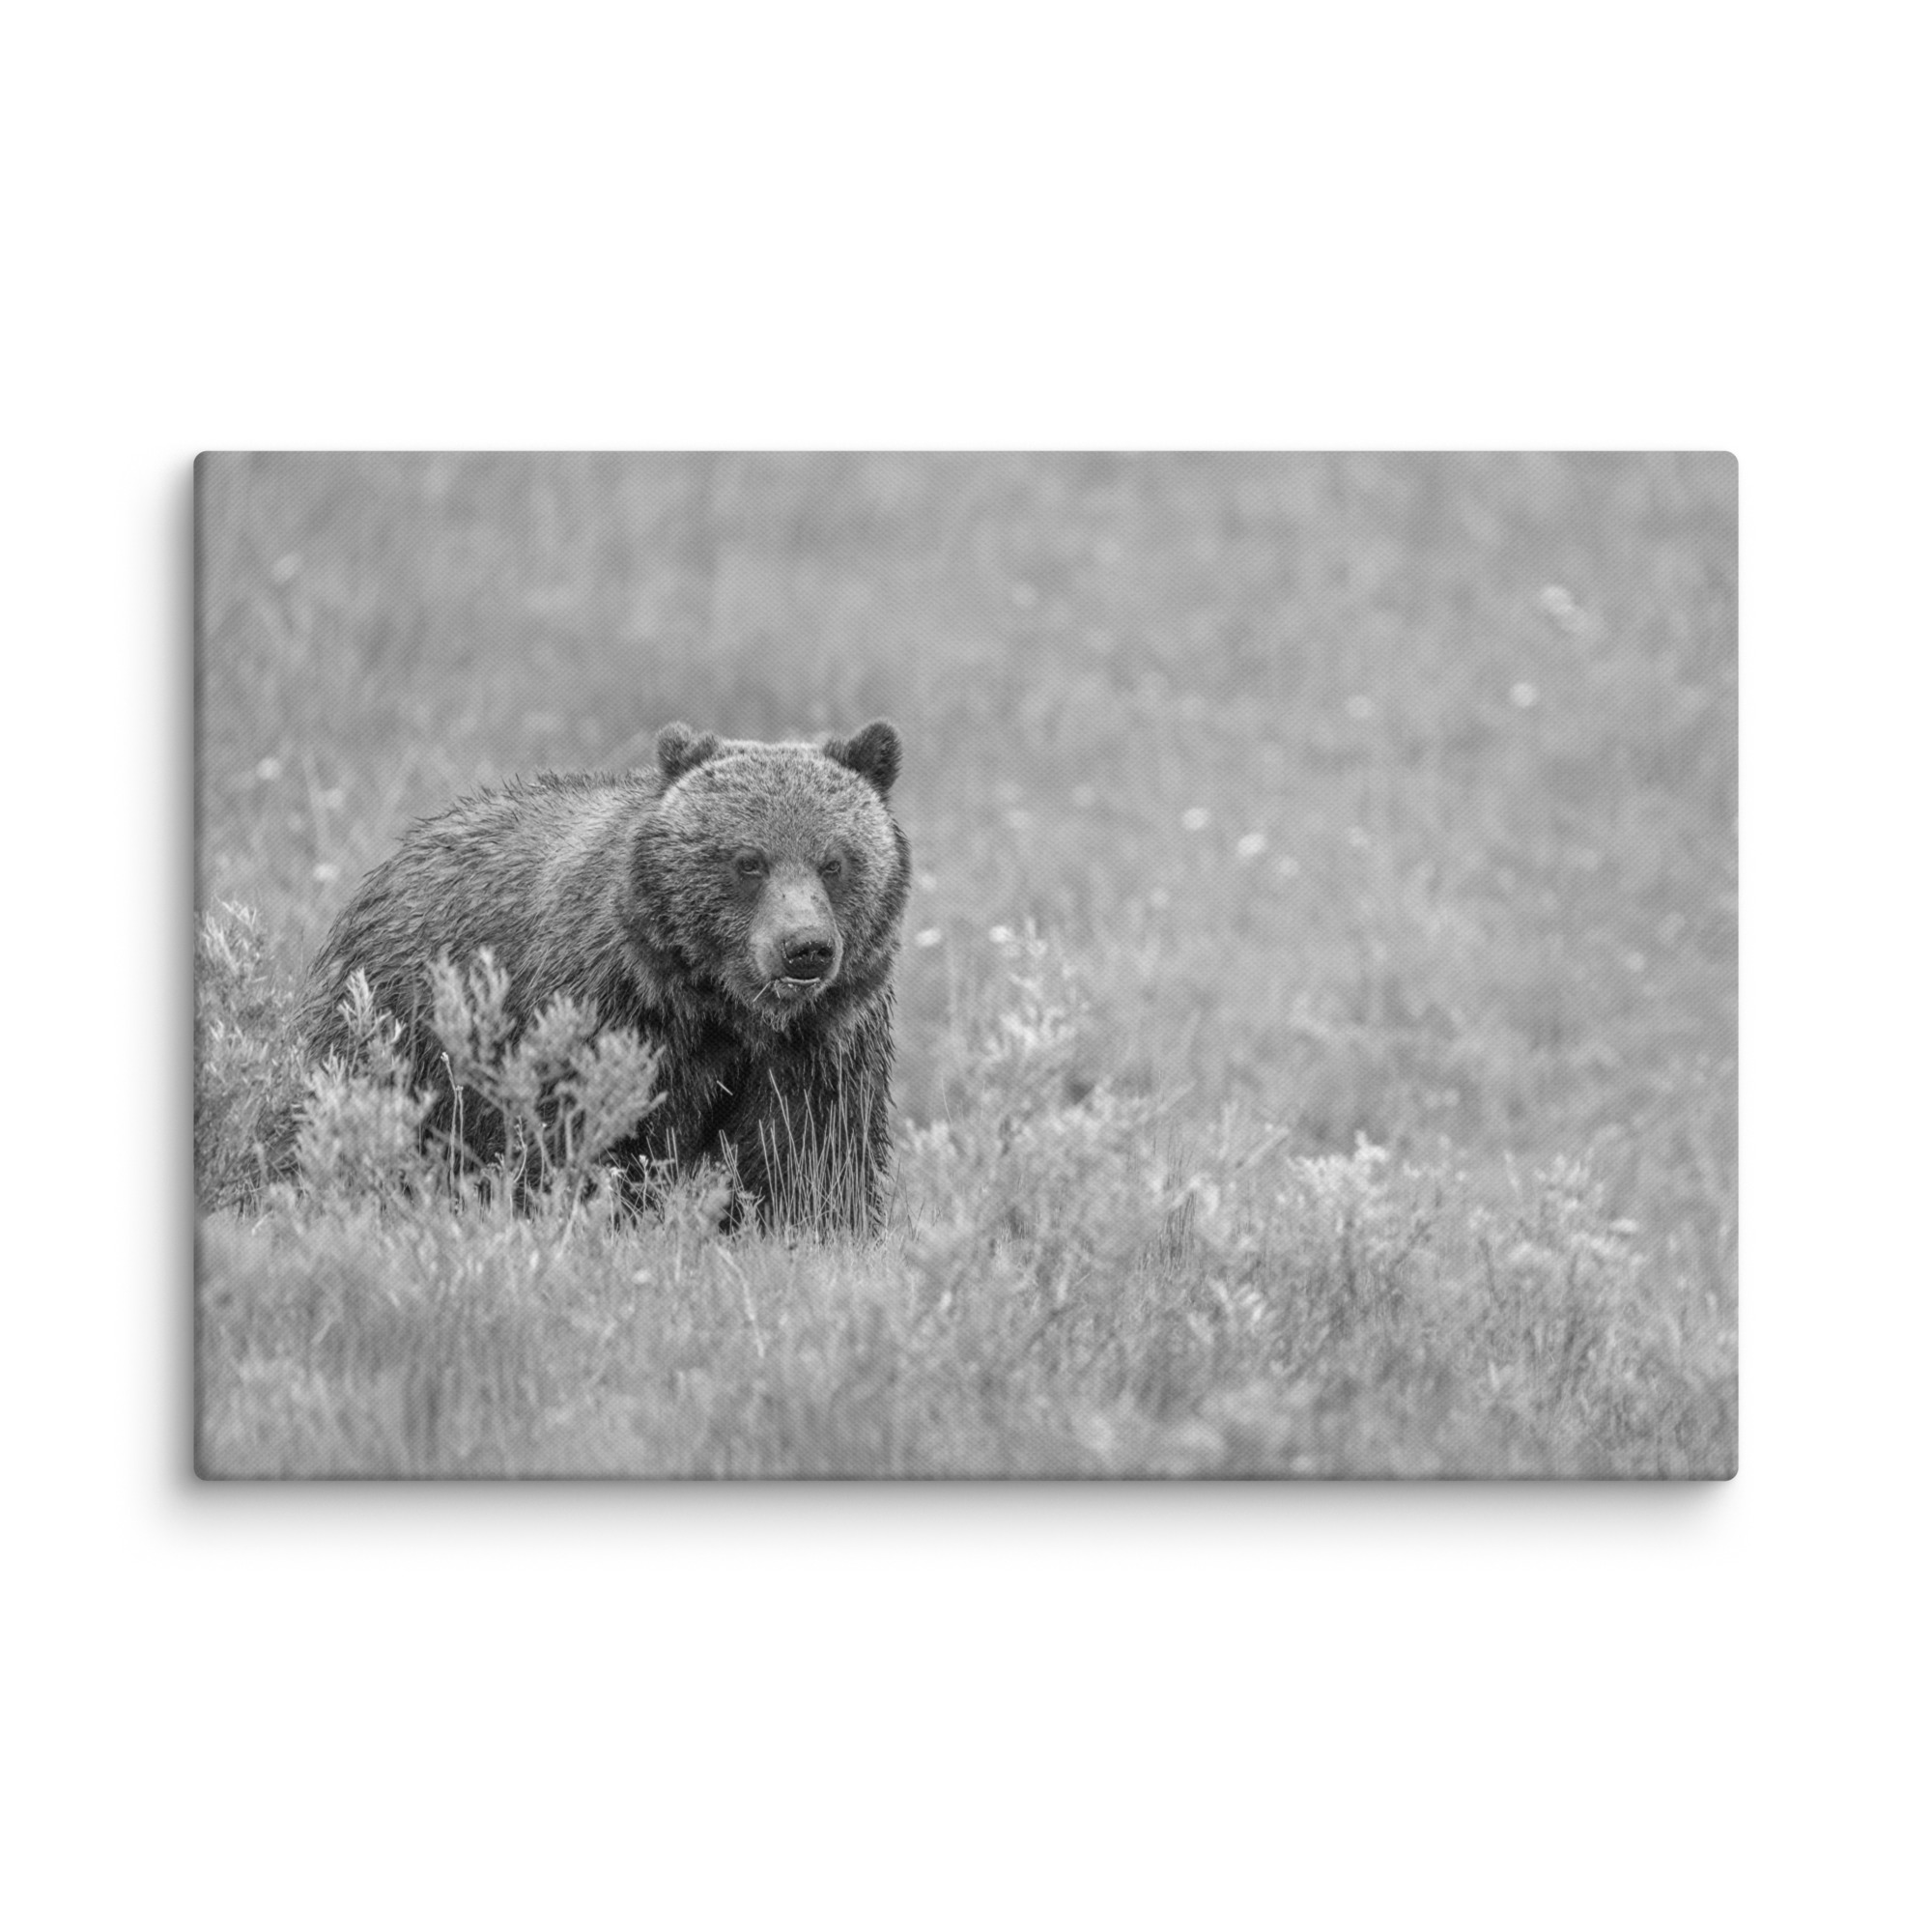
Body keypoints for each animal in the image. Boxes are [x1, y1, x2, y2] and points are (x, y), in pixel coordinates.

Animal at [298, 718, 910, 1233]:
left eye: (834, 861)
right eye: (748, 861)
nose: (805, 948)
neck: (721, 1008)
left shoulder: (821, 1042)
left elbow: (810, 1154)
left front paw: (813, 1229)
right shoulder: (608, 1012)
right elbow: (587, 1133)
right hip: (400, 1025)